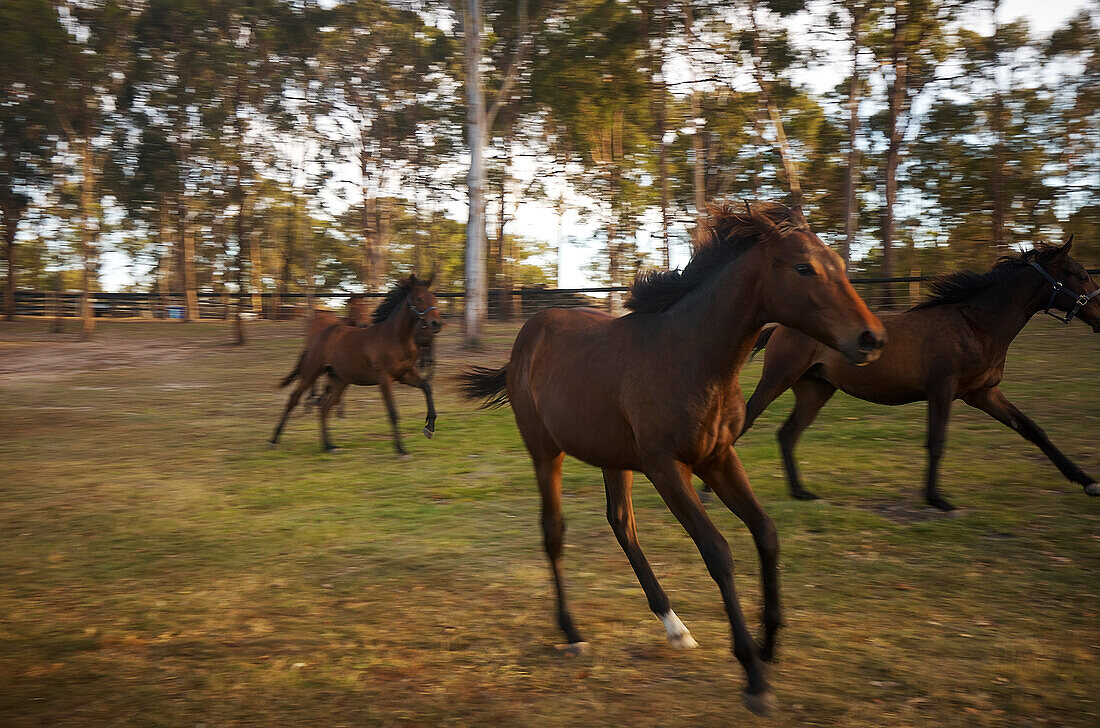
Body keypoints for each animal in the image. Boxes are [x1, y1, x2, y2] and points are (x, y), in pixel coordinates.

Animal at [270, 274, 442, 457]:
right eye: (419, 298)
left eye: (434, 298)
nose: (436, 323)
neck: (395, 338)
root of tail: (317, 337)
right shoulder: (385, 379)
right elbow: (393, 412)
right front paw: (401, 450)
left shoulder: (405, 374)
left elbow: (427, 386)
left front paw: (429, 428)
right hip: (312, 372)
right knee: (294, 399)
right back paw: (274, 440)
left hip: (340, 380)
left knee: (324, 407)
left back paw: (329, 446)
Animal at [457, 202, 884, 717]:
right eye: (804, 268)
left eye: (839, 264)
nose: (871, 339)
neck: (692, 358)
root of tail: (528, 336)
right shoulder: (667, 468)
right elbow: (717, 552)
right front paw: (754, 677)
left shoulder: (717, 458)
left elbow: (766, 532)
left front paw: (769, 644)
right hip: (546, 452)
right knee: (554, 531)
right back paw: (573, 633)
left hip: (613, 456)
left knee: (621, 523)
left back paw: (675, 627)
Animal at [739, 239, 1100, 512]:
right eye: (1081, 275)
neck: (975, 325)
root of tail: (779, 326)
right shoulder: (942, 389)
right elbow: (936, 442)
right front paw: (937, 499)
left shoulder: (983, 393)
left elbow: (1033, 430)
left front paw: (1087, 482)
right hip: (779, 378)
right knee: (748, 419)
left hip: (816, 390)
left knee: (787, 434)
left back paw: (801, 493)